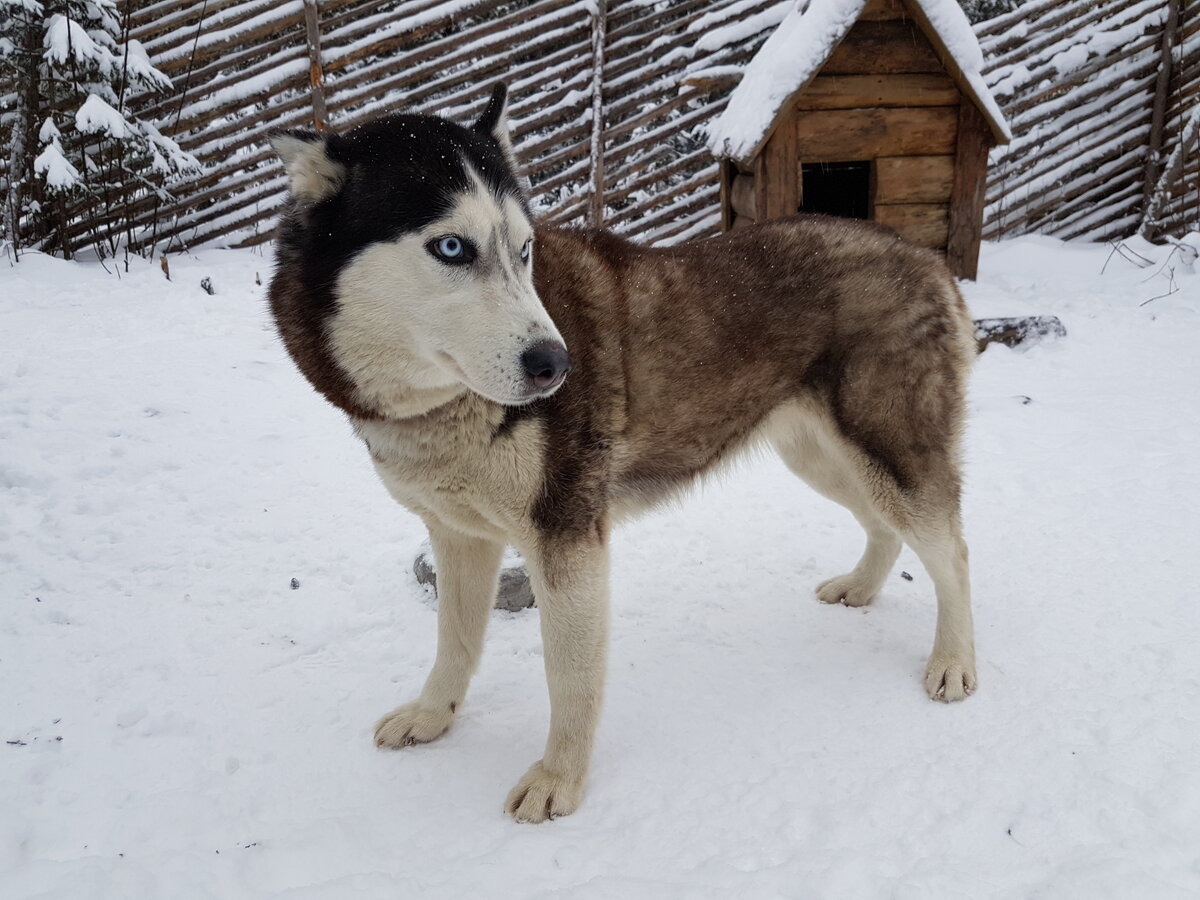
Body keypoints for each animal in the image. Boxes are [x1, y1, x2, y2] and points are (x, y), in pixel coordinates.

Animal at [267, 84, 979, 825]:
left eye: (525, 248)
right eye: (452, 247)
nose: (557, 365)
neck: (441, 407)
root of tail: (921, 255)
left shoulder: (567, 537)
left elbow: (568, 677)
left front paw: (559, 779)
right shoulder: (459, 535)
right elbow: (455, 641)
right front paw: (433, 717)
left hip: (889, 455)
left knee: (952, 551)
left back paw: (954, 663)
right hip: (822, 458)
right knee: (883, 527)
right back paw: (862, 588)